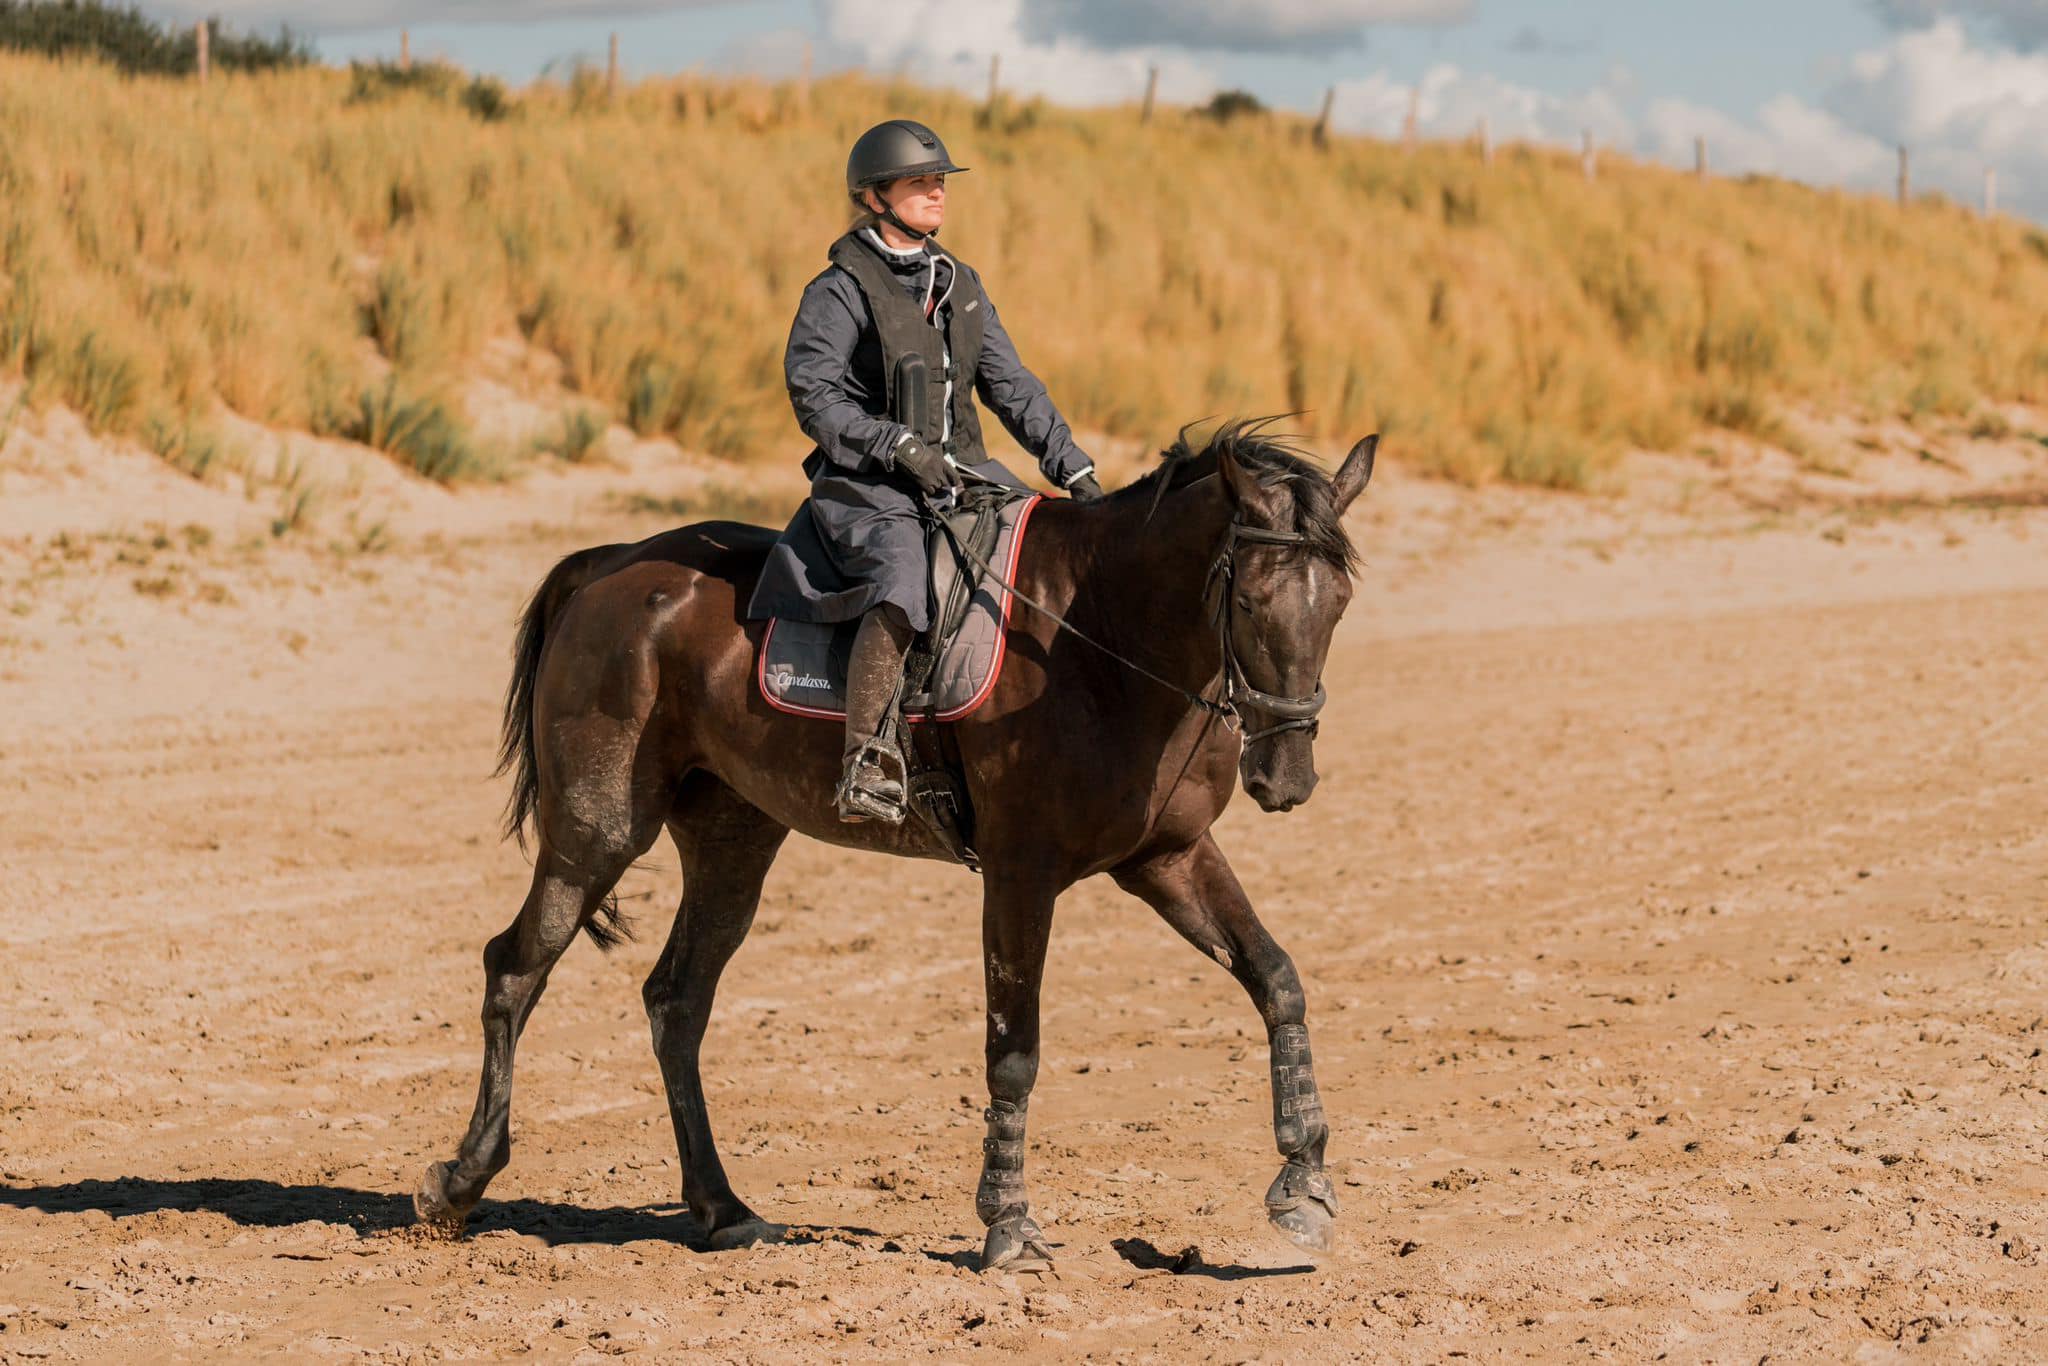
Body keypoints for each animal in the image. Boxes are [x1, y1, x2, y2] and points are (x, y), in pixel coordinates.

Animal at [413, 421, 1376, 1277]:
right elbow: (1013, 1049)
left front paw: (1303, 1188)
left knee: (675, 1001)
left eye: (1338, 604)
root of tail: (610, 565)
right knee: (517, 967)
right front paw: (1010, 1228)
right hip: (597, 829)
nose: (1285, 776)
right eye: (1246, 602)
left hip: (731, 844)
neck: (1096, 637)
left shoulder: (1168, 857)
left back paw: (721, 1210)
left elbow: (1277, 979)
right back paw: (458, 1185)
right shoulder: (1021, 876)